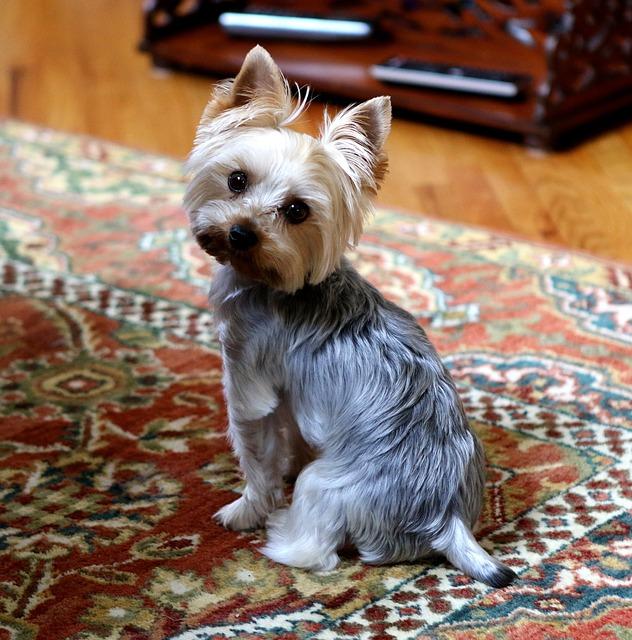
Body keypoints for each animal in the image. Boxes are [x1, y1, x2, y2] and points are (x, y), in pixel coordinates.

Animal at [184, 43, 520, 584]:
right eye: (236, 180)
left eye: (297, 211)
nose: (240, 233)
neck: (278, 283)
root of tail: (447, 519)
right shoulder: (291, 395)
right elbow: (291, 436)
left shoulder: (247, 381)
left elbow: (257, 457)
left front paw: (245, 510)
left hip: (327, 487)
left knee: (315, 549)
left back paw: (279, 532)